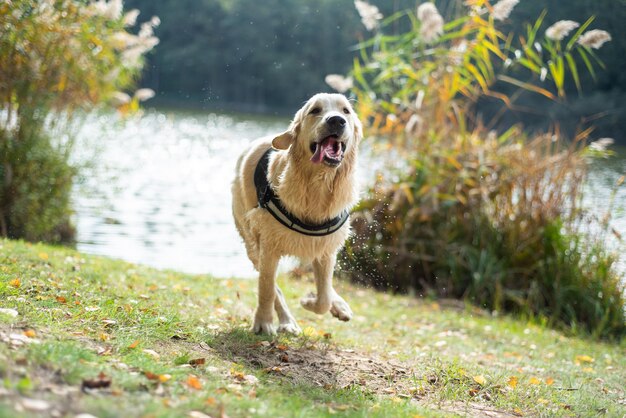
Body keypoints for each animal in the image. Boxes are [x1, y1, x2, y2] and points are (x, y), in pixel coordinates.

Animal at [232, 93, 364, 334]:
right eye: (315, 110)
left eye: (346, 111)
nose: (336, 120)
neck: (318, 184)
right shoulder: (269, 246)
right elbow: (267, 288)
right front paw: (264, 322)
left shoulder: (326, 248)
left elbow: (324, 298)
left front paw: (311, 301)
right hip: (251, 241)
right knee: (273, 287)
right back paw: (287, 320)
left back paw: (338, 306)